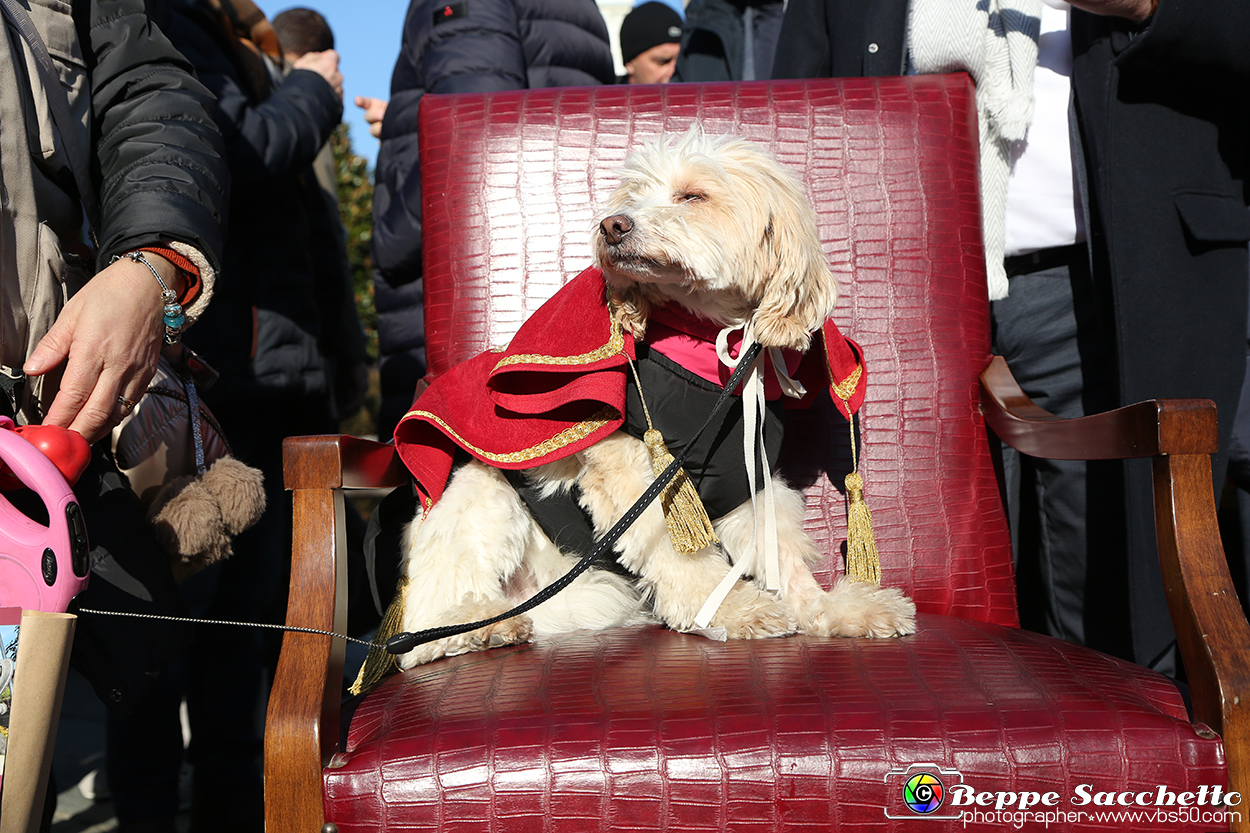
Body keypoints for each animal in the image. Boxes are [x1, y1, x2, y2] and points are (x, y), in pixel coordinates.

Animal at [395, 126, 915, 665]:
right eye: (632, 196)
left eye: (693, 196)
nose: (612, 225)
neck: (712, 350)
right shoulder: (638, 473)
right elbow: (681, 555)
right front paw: (730, 611)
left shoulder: (746, 476)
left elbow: (782, 553)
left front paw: (830, 610)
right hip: (482, 496)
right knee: (424, 627)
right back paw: (480, 627)